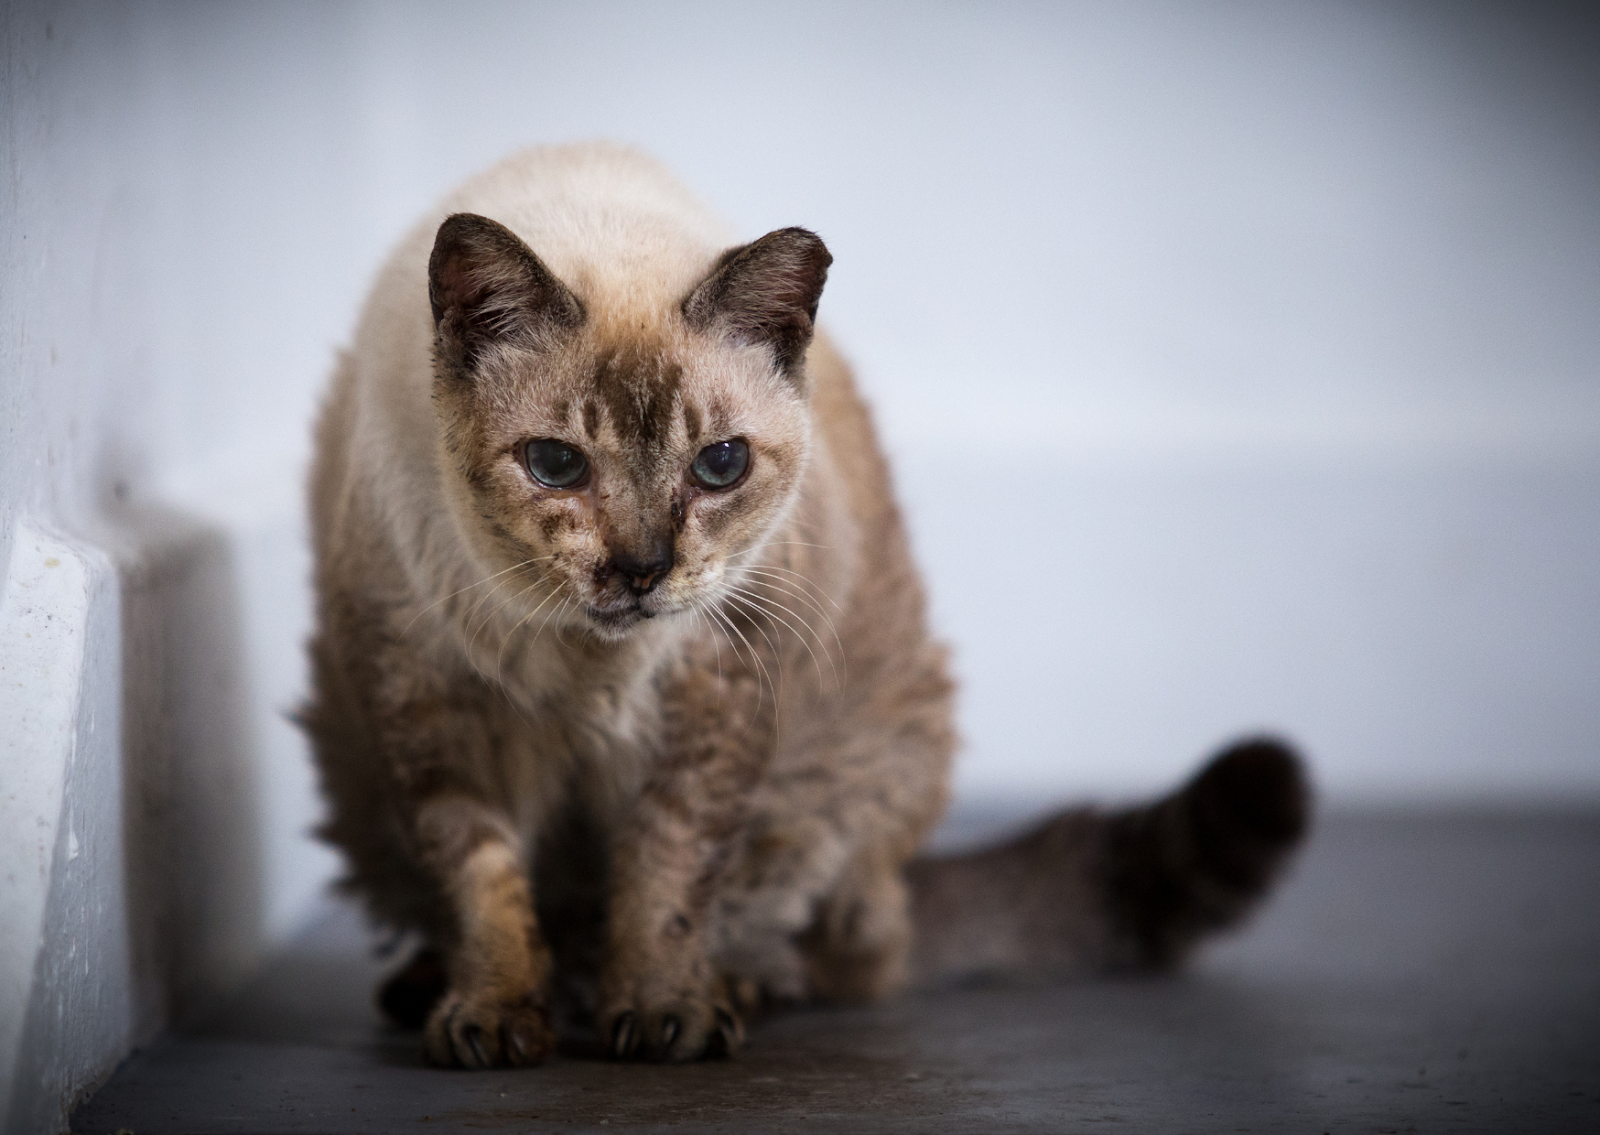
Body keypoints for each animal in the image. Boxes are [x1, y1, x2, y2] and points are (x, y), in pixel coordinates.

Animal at [302, 139, 1312, 1062]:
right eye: (555, 464)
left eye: (720, 465)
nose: (642, 568)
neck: (594, 664)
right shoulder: (427, 711)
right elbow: (482, 882)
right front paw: (495, 1016)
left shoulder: (717, 693)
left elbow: (665, 872)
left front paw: (663, 1013)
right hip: (354, 773)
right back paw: (443, 988)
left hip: (837, 796)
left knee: (834, 953)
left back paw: (712, 989)